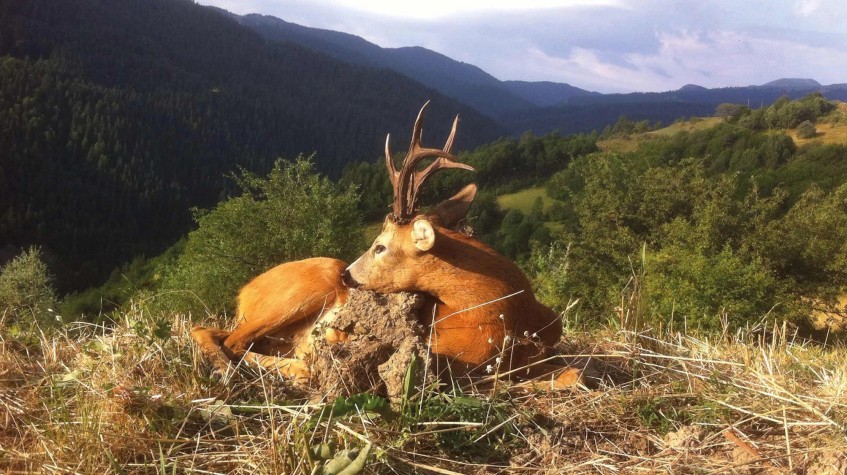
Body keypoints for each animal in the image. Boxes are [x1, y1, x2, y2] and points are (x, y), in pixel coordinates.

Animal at [191, 102, 578, 387]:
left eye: (380, 246)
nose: (347, 277)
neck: (502, 314)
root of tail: (244, 290)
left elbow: (573, 376)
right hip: (297, 293)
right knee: (226, 338)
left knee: (225, 335)